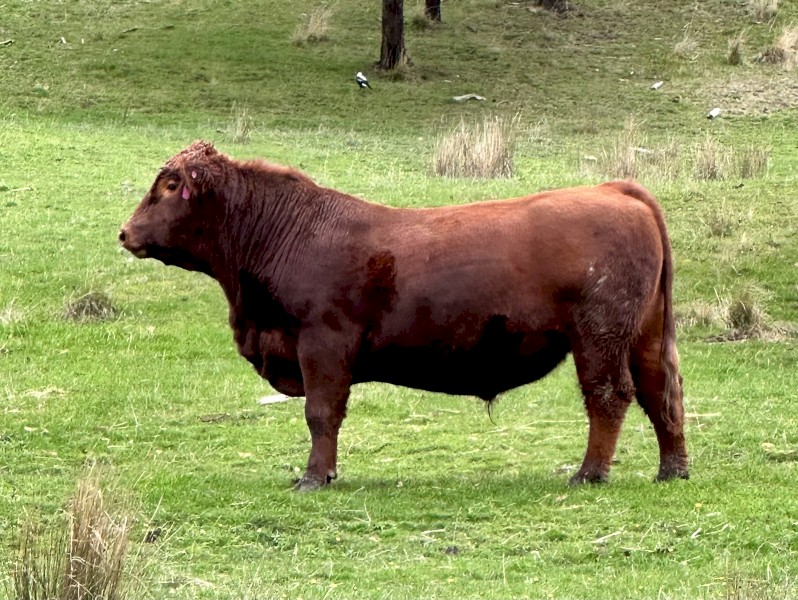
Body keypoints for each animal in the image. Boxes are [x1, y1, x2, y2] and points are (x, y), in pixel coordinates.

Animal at [119, 141, 688, 491]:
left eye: (169, 187)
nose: (125, 233)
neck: (289, 233)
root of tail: (613, 189)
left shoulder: (322, 346)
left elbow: (321, 415)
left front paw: (314, 478)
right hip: (644, 335)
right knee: (663, 392)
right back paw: (671, 469)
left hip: (599, 337)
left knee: (609, 397)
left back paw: (589, 473)